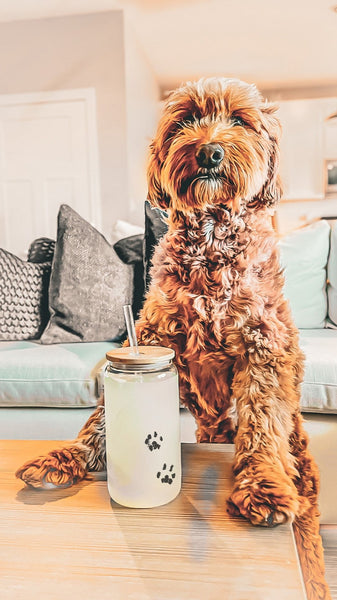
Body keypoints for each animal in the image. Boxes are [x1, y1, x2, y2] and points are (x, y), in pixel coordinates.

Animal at [16, 78, 328, 600]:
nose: (209, 152)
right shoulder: (154, 337)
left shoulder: (263, 348)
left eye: (240, 120)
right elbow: (101, 417)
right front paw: (71, 455)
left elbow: (261, 420)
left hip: (302, 469)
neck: (212, 240)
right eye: (184, 120)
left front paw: (261, 483)